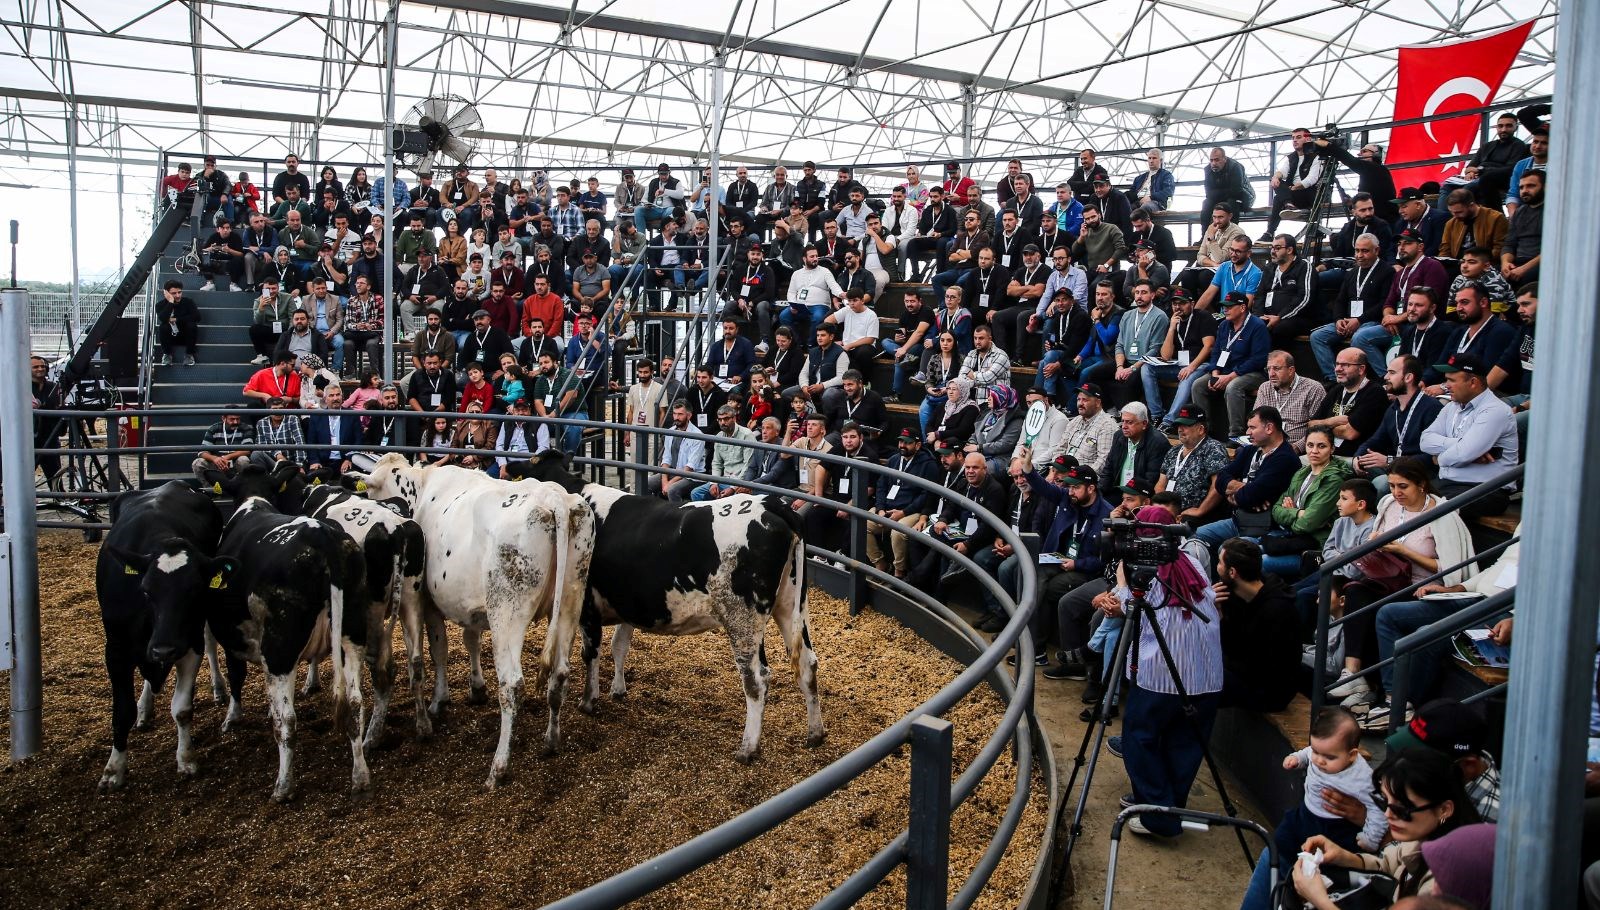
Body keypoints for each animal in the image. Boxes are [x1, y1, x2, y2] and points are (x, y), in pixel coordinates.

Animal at [96, 482, 227, 786]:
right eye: (145, 590)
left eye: (195, 591)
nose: (165, 649)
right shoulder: (116, 649)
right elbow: (122, 711)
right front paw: (114, 769)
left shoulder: (189, 643)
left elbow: (182, 708)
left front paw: (186, 759)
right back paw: (145, 709)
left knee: (209, 641)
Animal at [197, 463, 371, 799]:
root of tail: (322, 538)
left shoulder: (234, 632)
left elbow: (237, 675)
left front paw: (232, 717)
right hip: (352, 634)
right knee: (355, 704)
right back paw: (360, 777)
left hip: (281, 647)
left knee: (287, 720)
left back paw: (283, 785)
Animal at [300, 486, 425, 742]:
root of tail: (394, 528)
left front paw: (310, 682)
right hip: (411, 597)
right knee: (415, 662)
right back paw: (422, 725)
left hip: (373, 609)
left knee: (380, 667)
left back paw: (372, 736)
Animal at [347, 454, 598, 786]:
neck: (421, 488)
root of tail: (552, 497)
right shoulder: (472, 607)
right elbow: (470, 640)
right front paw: (476, 687)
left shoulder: (428, 601)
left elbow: (438, 649)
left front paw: (439, 700)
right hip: (572, 596)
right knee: (559, 672)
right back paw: (551, 741)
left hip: (507, 610)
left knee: (511, 684)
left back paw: (498, 767)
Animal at [521, 447, 825, 758]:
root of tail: (771, 504)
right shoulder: (629, 603)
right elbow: (619, 646)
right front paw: (618, 689)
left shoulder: (588, 607)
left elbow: (591, 654)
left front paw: (588, 701)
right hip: (791, 605)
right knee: (807, 664)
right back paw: (815, 734)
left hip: (743, 619)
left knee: (756, 679)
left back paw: (747, 748)